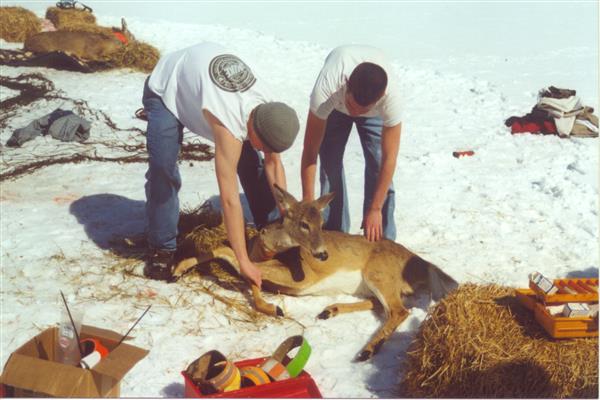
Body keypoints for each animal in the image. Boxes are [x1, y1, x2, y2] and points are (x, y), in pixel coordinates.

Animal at [171, 186, 458, 360]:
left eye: (321, 223)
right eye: (303, 224)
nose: (322, 255)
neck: (266, 249)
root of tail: (420, 262)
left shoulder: (302, 276)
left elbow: (229, 253)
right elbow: (249, 277)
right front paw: (178, 269)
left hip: (378, 273)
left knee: (399, 311)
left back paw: (368, 349)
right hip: (372, 283)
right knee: (381, 305)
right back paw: (330, 310)